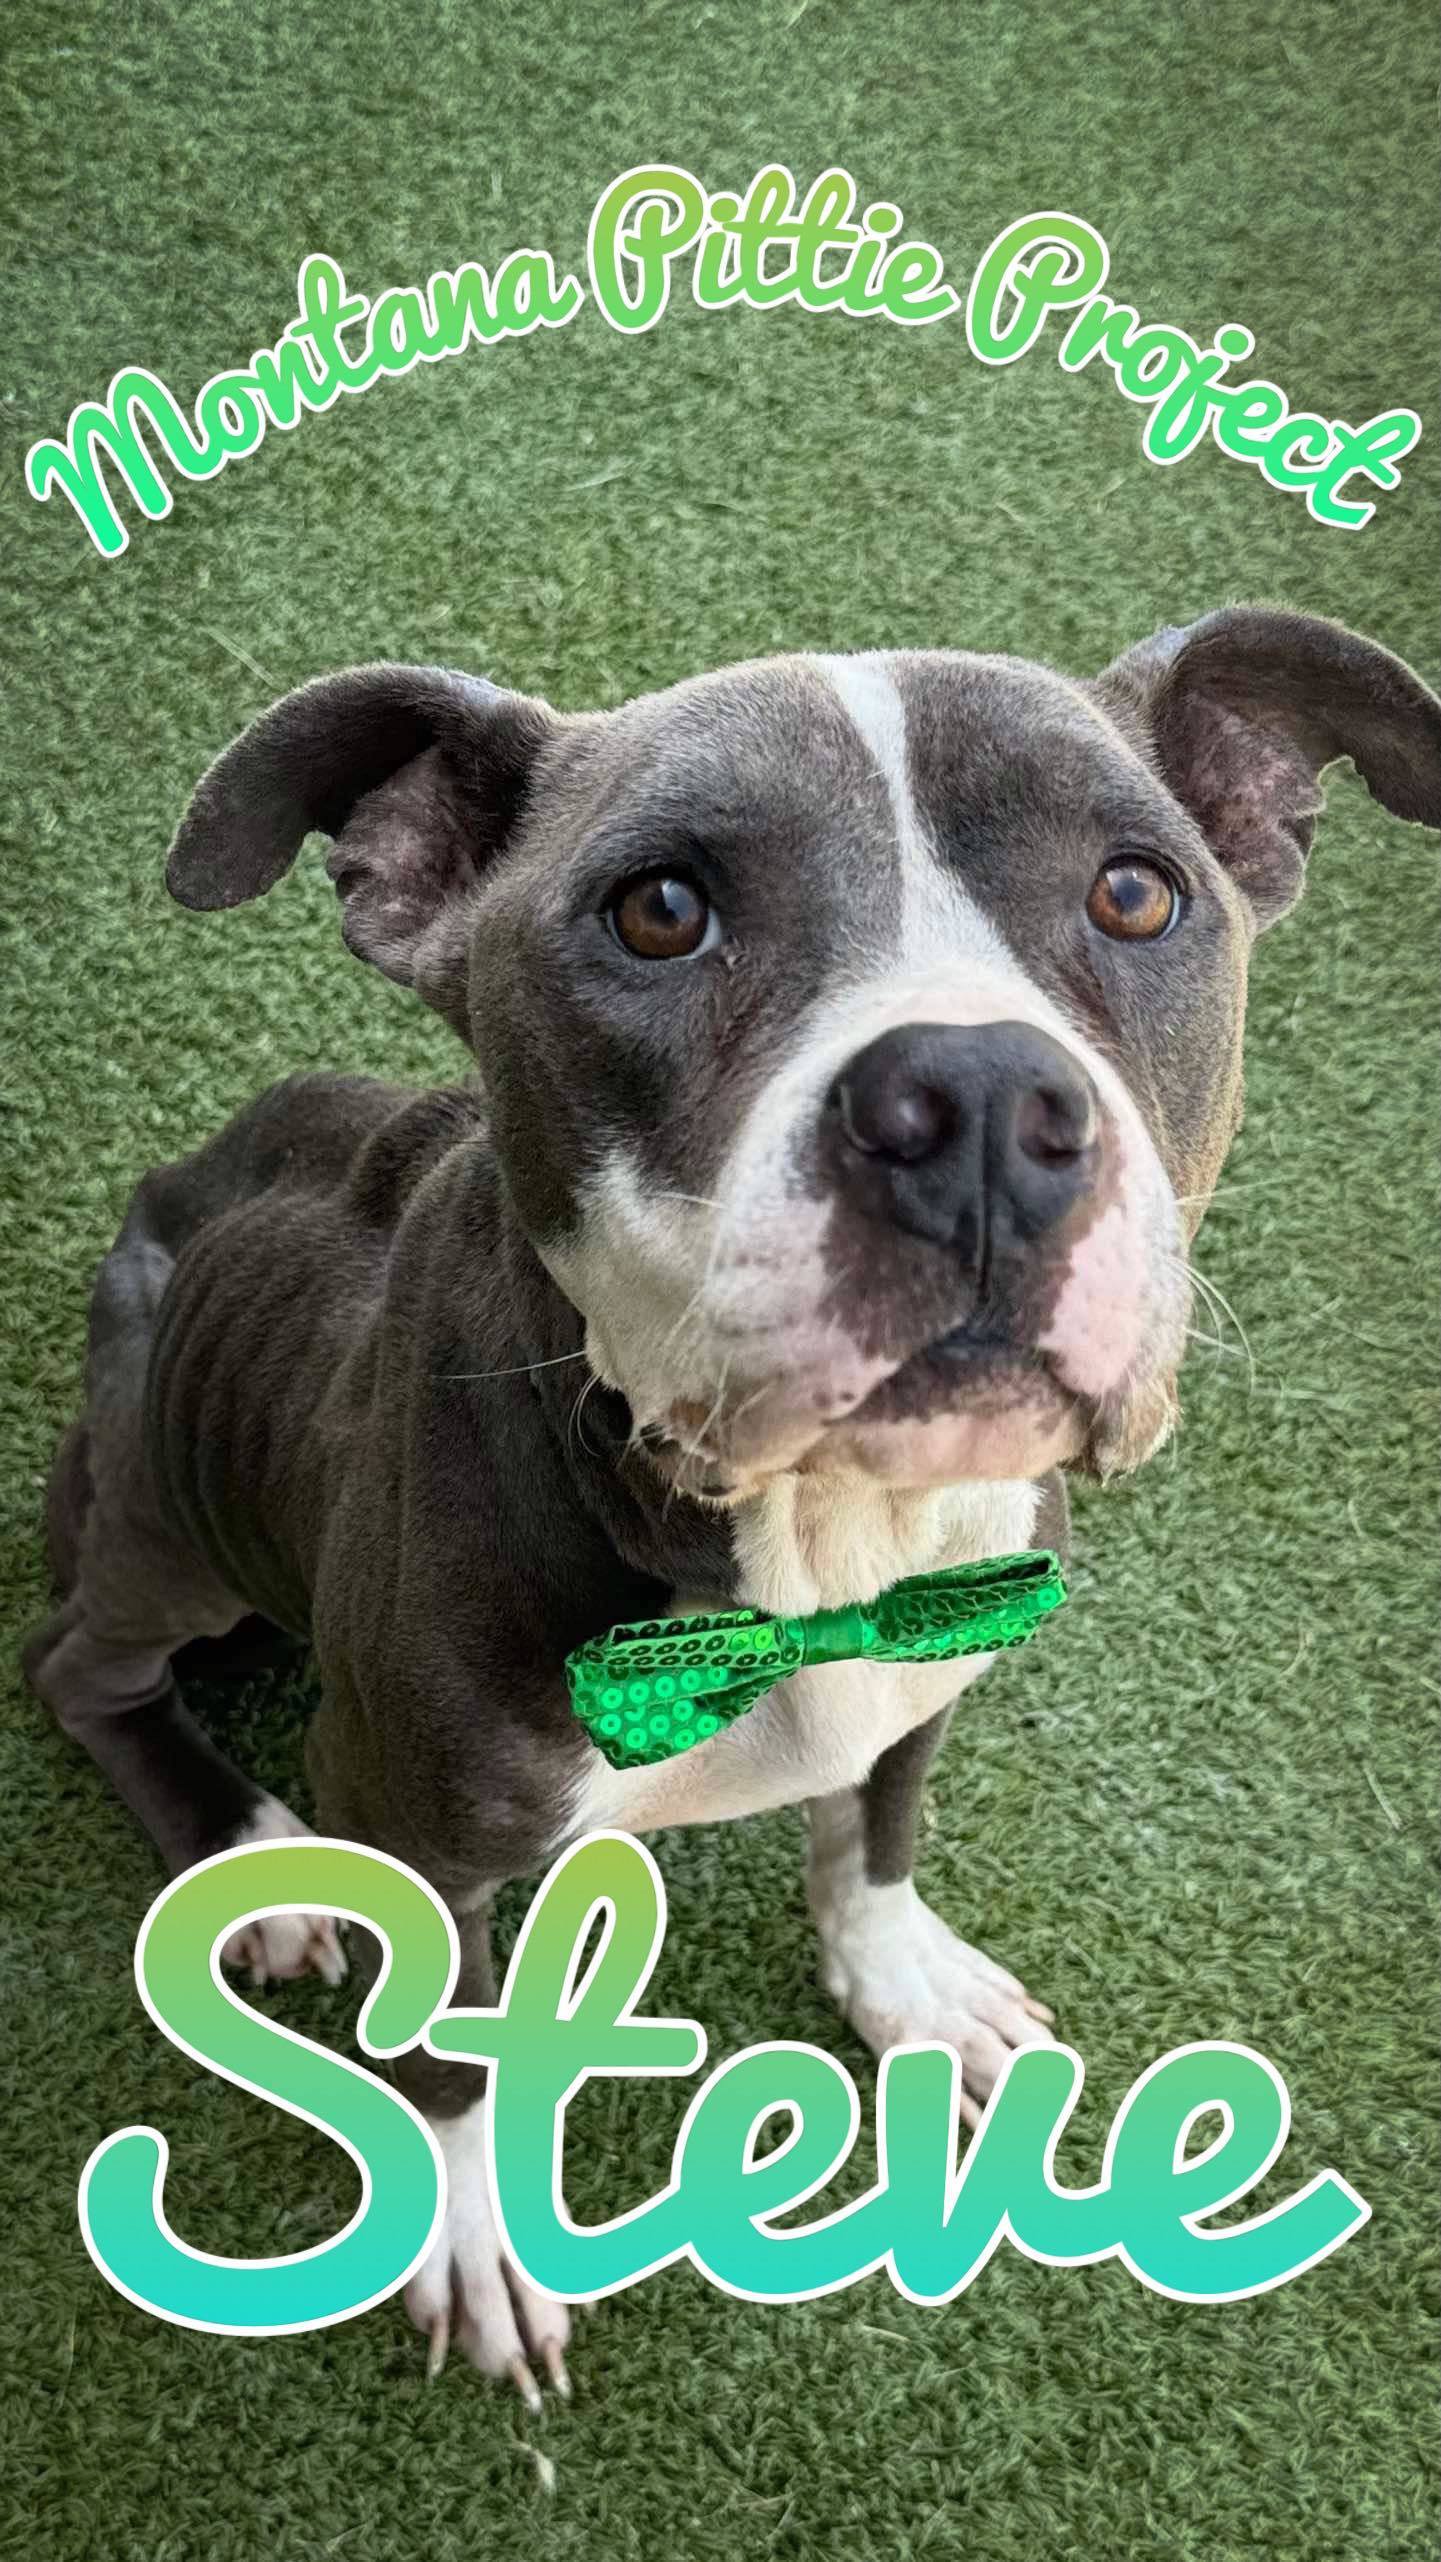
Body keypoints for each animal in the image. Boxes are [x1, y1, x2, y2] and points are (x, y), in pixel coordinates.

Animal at [25, 604, 1435, 2398]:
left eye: (1136, 890)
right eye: (661, 911)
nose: (979, 1103)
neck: (818, 1556)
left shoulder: (925, 1671)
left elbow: (876, 1826)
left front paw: (901, 1979)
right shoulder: (413, 1820)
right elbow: (443, 2061)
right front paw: (470, 2227)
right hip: (169, 1510)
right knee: (76, 1664)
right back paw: (255, 1853)